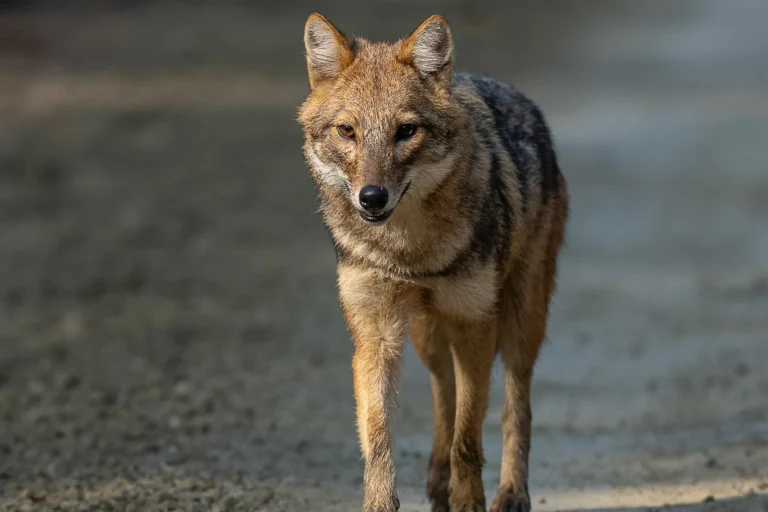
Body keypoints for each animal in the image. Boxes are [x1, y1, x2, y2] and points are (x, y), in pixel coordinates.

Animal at [297, 12, 569, 512]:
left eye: (406, 131)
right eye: (347, 131)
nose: (371, 197)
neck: (409, 251)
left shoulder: (475, 324)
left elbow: (469, 439)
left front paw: (469, 502)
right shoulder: (376, 334)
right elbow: (379, 439)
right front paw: (381, 503)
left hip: (520, 324)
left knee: (515, 407)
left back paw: (510, 493)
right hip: (427, 336)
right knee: (444, 392)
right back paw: (438, 480)